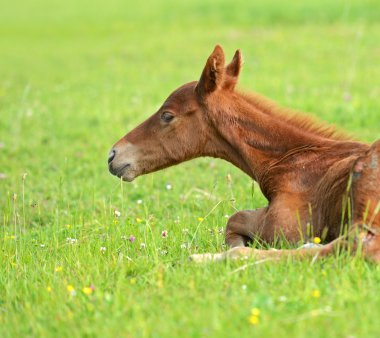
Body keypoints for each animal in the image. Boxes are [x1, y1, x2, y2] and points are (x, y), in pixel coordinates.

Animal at [108, 44, 380, 262]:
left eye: (167, 115)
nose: (113, 154)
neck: (291, 159)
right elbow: (235, 220)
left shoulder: (286, 225)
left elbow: (236, 220)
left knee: (358, 245)